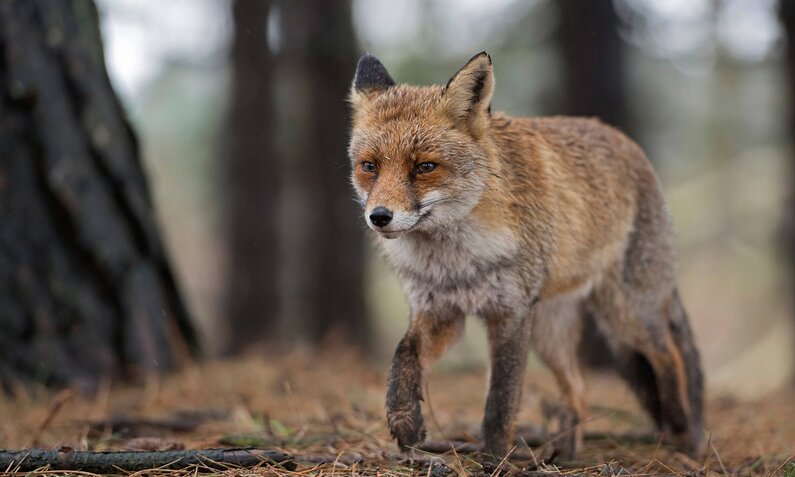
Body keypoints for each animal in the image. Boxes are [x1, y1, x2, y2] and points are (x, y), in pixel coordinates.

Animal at [348, 51, 704, 458]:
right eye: (369, 166)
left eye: (424, 167)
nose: (379, 216)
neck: (455, 263)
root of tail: (628, 143)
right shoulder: (439, 311)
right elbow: (403, 356)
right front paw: (405, 420)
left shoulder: (511, 312)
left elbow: (501, 400)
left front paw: (494, 457)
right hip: (551, 334)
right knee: (579, 391)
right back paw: (565, 453)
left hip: (625, 315)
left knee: (668, 356)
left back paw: (682, 429)